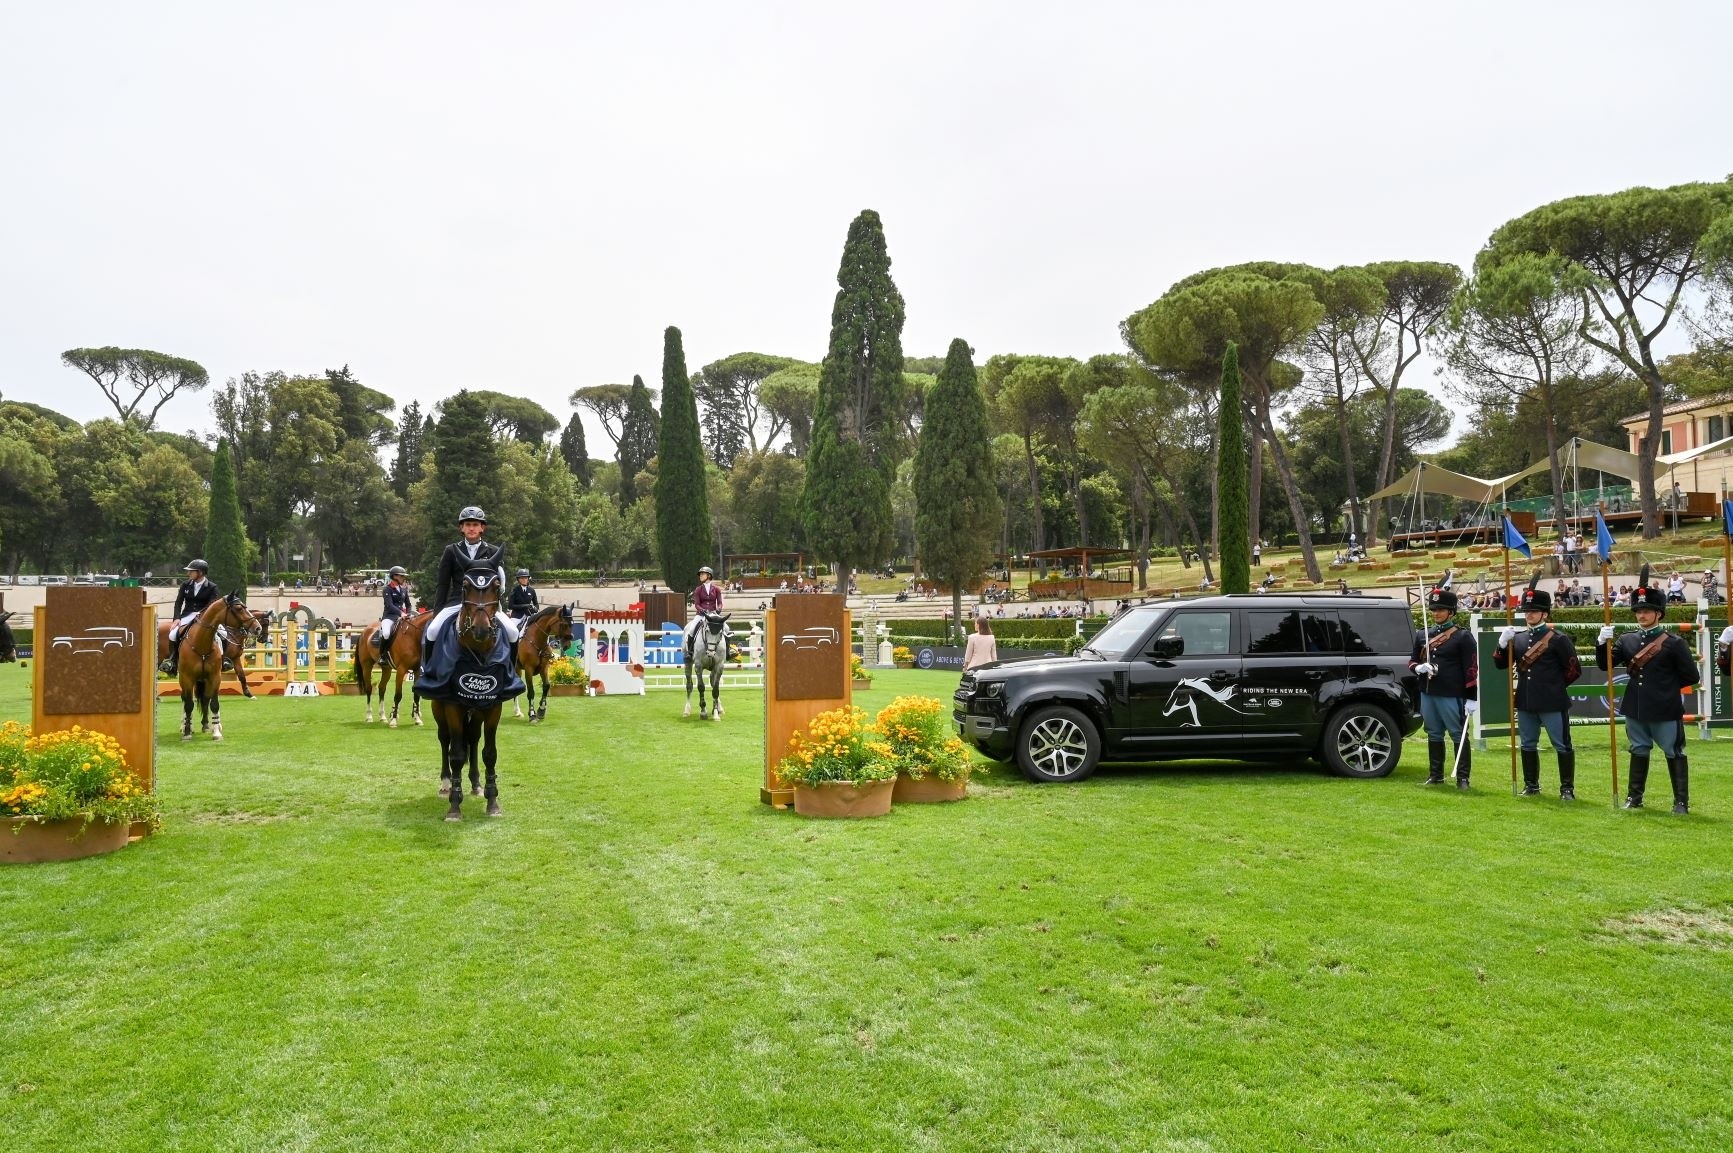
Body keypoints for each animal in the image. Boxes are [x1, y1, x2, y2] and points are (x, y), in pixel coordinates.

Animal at [170, 589, 265, 742]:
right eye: (239, 608)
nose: (258, 628)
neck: (201, 643)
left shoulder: (214, 676)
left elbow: (214, 703)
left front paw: (216, 732)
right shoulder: (187, 677)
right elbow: (189, 704)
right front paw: (187, 732)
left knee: (206, 699)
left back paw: (208, 725)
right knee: (186, 700)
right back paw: (186, 725)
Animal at [429, 565, 506, 818]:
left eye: (496, 587)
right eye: (464, 586)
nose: (481, 630)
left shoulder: (493, 706)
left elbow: (489, 753)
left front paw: (492, 801)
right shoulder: (452, 705)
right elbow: (456, 754)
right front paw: (454, 805)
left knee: (472, 738)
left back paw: (475, 783)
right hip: (438, 706)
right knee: (445, 738)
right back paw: (445, 783)